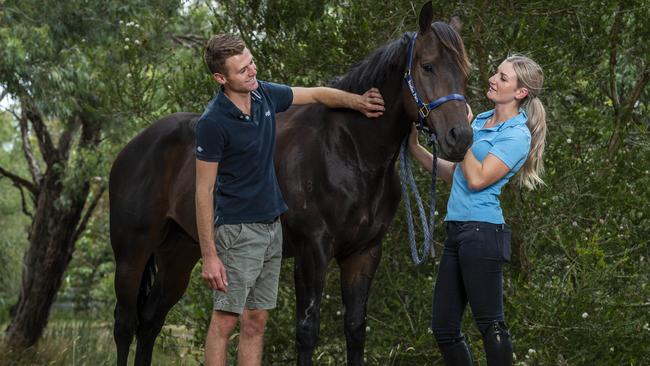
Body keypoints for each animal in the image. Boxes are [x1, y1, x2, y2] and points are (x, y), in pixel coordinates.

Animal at [109, 2, 468, 364]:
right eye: (428, 66)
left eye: (464, 72)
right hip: (132, 254)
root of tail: (132, 147)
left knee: (150, 321)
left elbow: (355, 329)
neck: (349, 150)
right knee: (125, 324)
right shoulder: (313, 251)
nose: (460, 137)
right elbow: (308, 329)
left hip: (180, 252)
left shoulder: (364, 253)